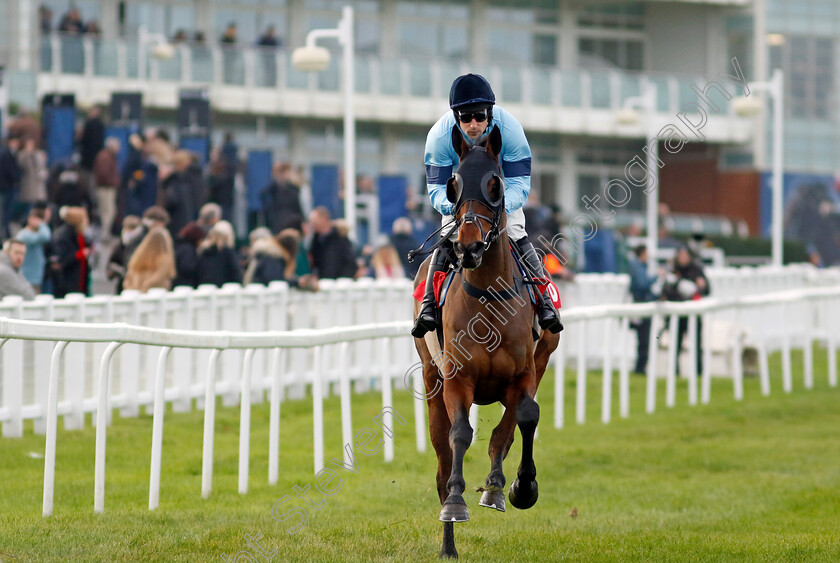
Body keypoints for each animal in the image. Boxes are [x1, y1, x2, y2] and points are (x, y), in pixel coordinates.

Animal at [412, 128, 556, 560]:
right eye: (453, 185)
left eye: (496, 185)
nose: (469, 246)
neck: (489, 299)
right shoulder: (457, 379)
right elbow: (461, 435)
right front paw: (456, 505)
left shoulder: (525, 372)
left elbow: (523, 419)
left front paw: (519, 487)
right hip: (432, 381)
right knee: (443, 463)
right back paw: (448, 540)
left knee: (507, 429)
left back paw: (495, 486)